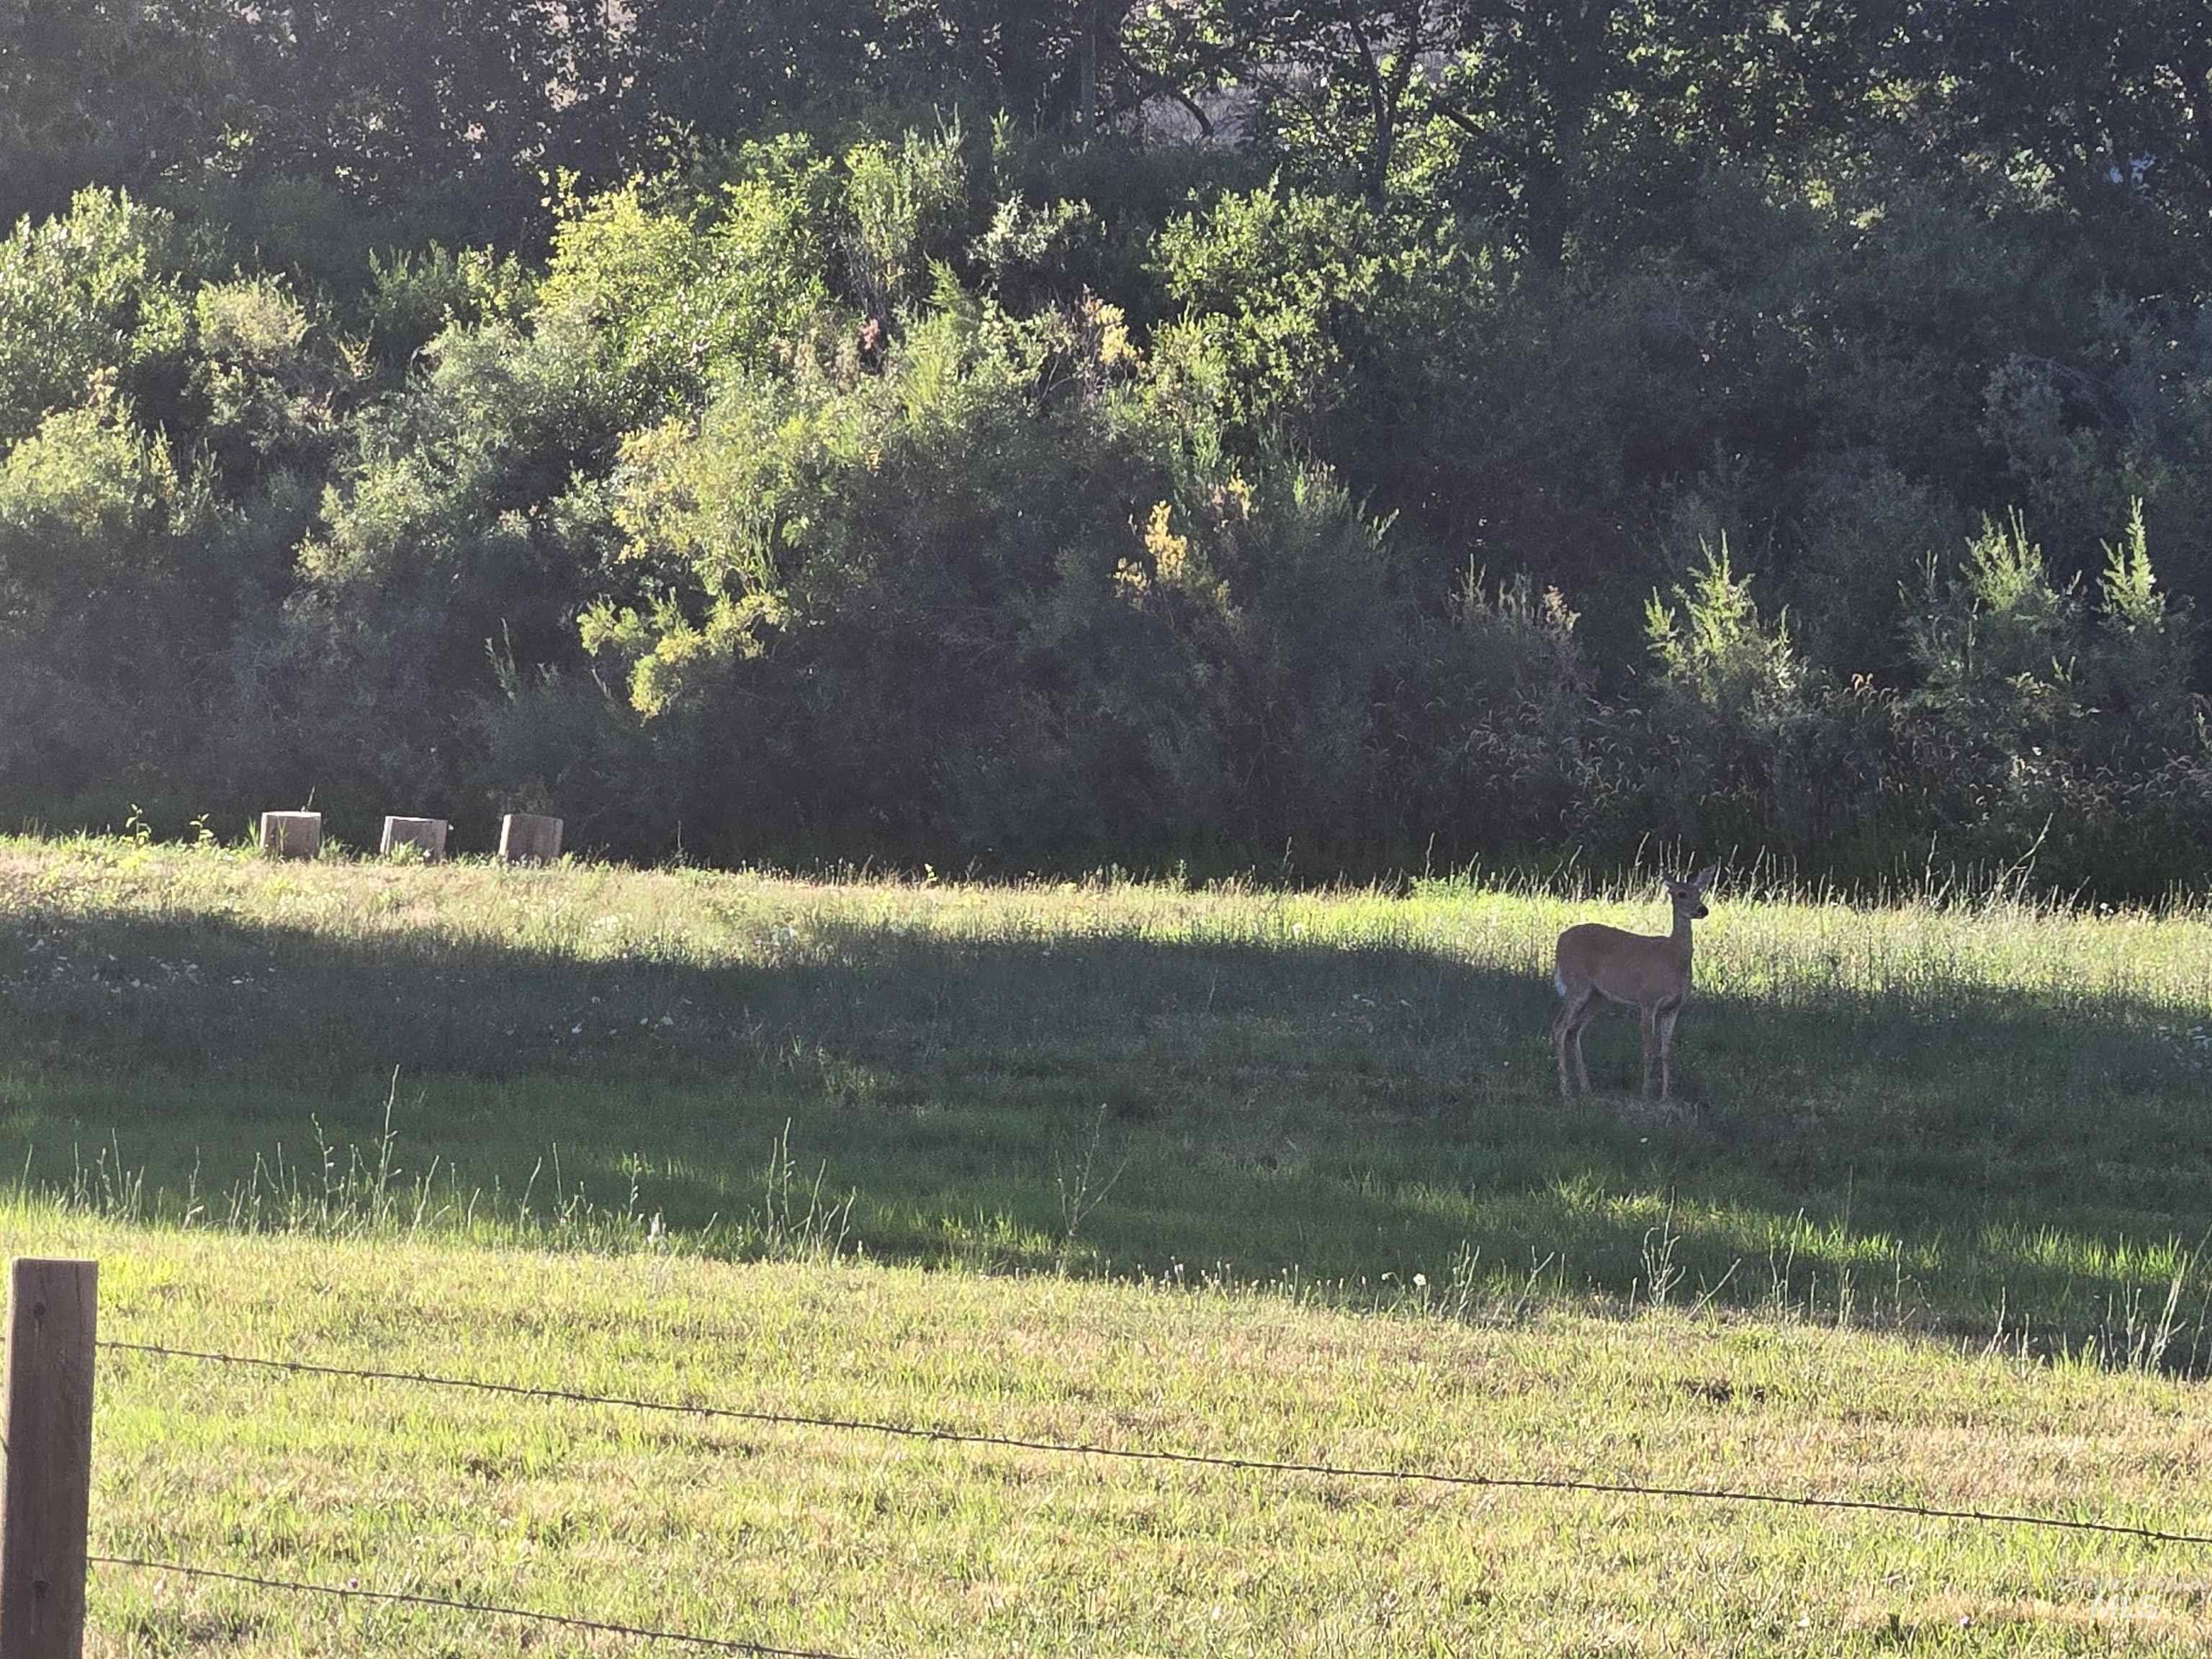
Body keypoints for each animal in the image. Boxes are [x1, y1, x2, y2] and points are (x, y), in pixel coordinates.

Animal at [1552, 867, 1717, 1101]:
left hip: (1599, 997)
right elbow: (1649, 1049)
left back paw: (1586, 1089)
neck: (1673, 959)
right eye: (1681, 894)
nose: (1702, 910)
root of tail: (1560, 941)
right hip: (1577, 984)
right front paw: (1646, 1094)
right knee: (1560, 1027)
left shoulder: (1674, 1007)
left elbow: (1666, 1052)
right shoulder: (1648, 1000)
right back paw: (1566, 1093)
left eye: (1699, 892)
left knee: (1574, 1030)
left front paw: (1665, 1096)